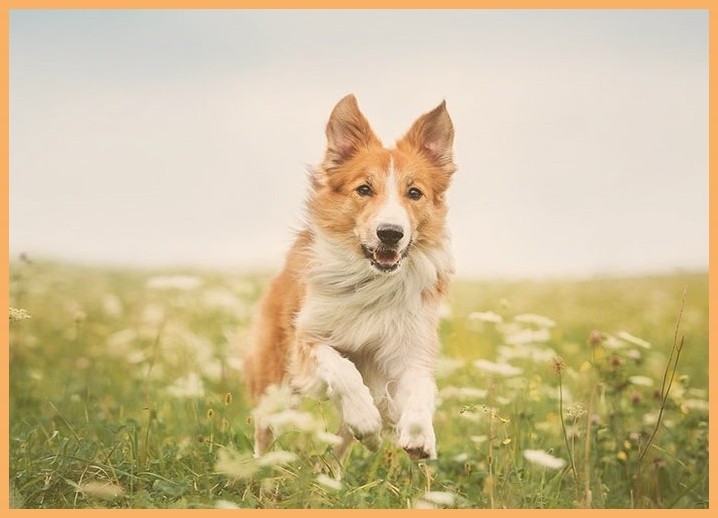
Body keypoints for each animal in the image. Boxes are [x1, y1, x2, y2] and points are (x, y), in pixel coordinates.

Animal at [242, 93, 456, 464]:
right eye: (364, 189)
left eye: (414, 193)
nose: (390, 233)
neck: (372, 281)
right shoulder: (307, 339)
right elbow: (342, 369)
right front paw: (366, 418)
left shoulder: (409, 348)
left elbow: (421, 388)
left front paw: (419, 435)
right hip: (275, 380)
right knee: (265, 430)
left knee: (338, 450)